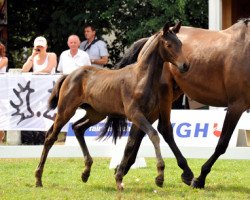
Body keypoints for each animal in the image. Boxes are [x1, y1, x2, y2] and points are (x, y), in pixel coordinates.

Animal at [34, 21, 188, 190]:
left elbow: (130, 145)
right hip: (65, 111)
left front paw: (119, 178)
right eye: (168, 44)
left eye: (180, 44)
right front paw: (160, 175)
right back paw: (38, 179)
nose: (185, 65)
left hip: (95, 113)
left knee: (77, 128)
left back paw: (85, 172)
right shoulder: (135, 114)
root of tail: (69, 75)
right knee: (50, 137)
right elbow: (153, 135)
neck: (141, 78)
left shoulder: (141, 116)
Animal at [114, 18, 250, 189]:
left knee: (140, 129)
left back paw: (123, 168)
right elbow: (222, 143)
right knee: (163, 129)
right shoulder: (236, 105)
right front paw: (200, 178)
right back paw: (186, 172)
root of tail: (150, 39)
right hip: (164, 95)